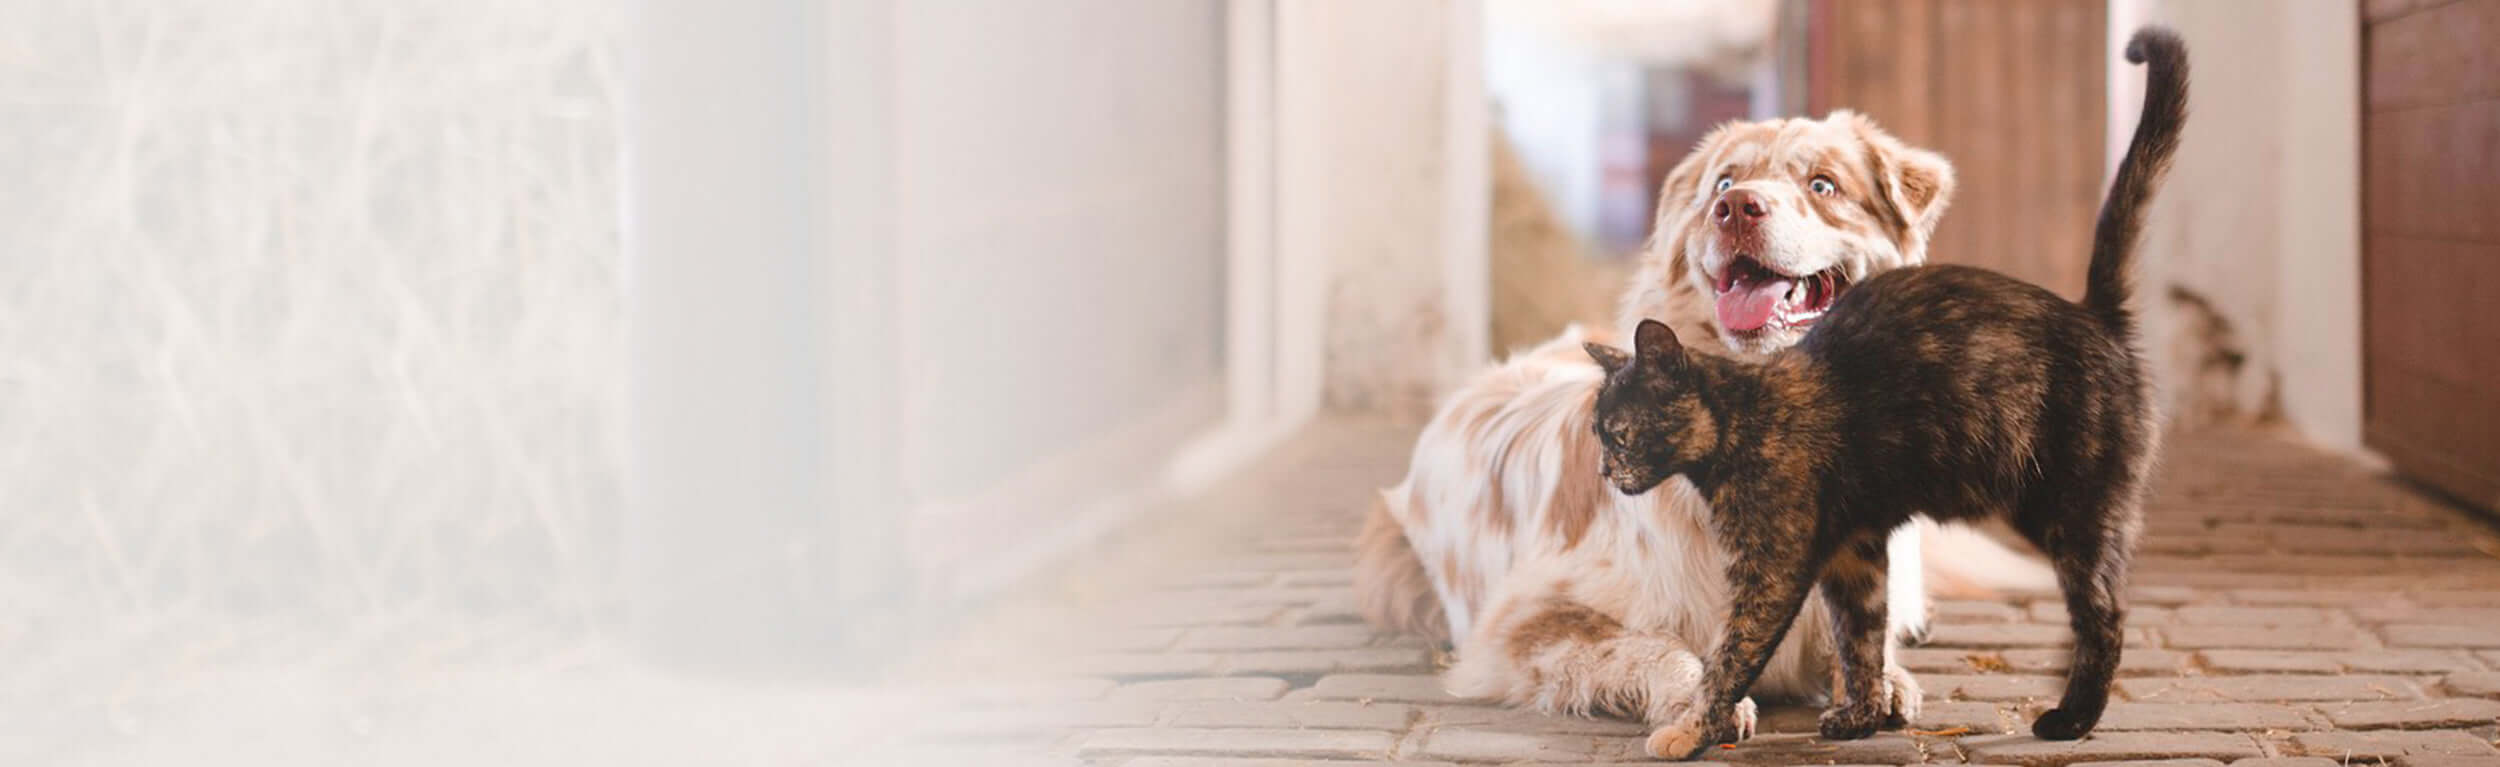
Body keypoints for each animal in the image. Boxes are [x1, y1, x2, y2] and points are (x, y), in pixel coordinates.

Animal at [1370, 112, 2050, 734]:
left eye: (1823, 185)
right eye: (1725, 180)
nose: (1737, 207)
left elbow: (1858, 638)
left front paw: (1881, 682)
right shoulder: (1523, 622)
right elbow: (1656, 649)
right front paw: (1700, 704)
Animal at [1590, 28, 2180, 759]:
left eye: (1621, 433)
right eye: (1598, 434)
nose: (1604, 471)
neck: (1744, 414)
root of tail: (2092, 314)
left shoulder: (1773, 567)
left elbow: (1729, 655)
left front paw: (1692, 729)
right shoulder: (1856, 550)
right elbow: (1861, 636)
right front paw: (1862, 714)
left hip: (2071, 509)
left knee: (2106, 613)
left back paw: (2070, 718)